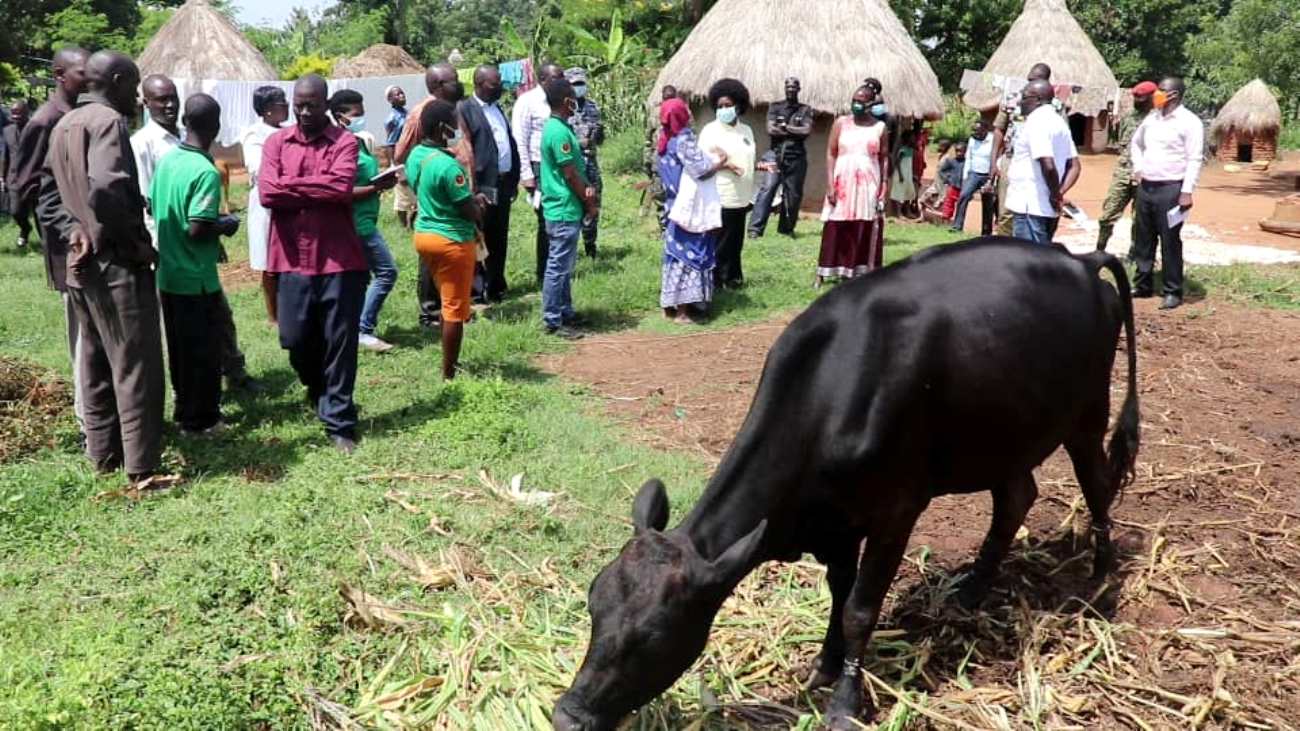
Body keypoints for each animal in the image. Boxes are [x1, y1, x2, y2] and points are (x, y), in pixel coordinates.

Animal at [553, 239, 1144, 728]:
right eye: (593, 602)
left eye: (653, 637)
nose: (567, 716)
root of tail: (1080, 259)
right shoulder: (835, 522)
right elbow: (839, 592)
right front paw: (824, 664)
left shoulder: (896, 510)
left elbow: (861, 609)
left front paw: (844, 703)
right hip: (1005, 432)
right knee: (1017, 496)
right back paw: (974, 589)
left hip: (1086, 412)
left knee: (1096, 484)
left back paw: (1100, 579)